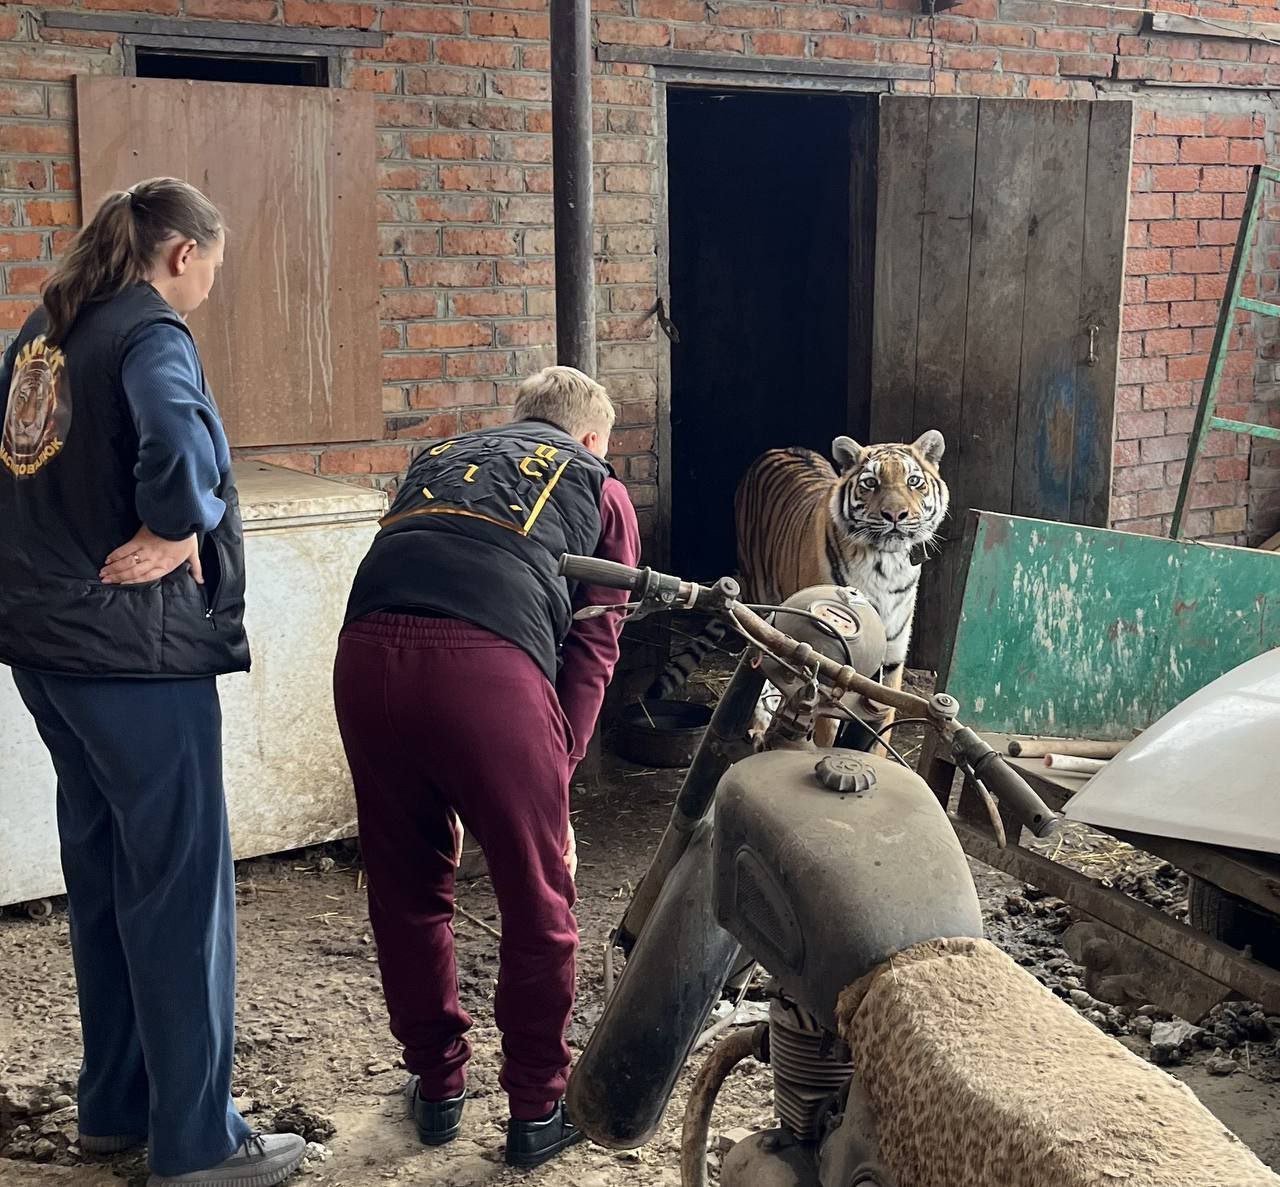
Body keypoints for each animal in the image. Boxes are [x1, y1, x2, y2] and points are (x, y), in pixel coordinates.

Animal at [655, 427, 947, 742]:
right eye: (871, 483)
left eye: (913, 481)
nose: (895, 515)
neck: (887, 566)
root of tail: (783, 447)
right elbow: (824, 730)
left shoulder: (892, 661)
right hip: (764, 601)